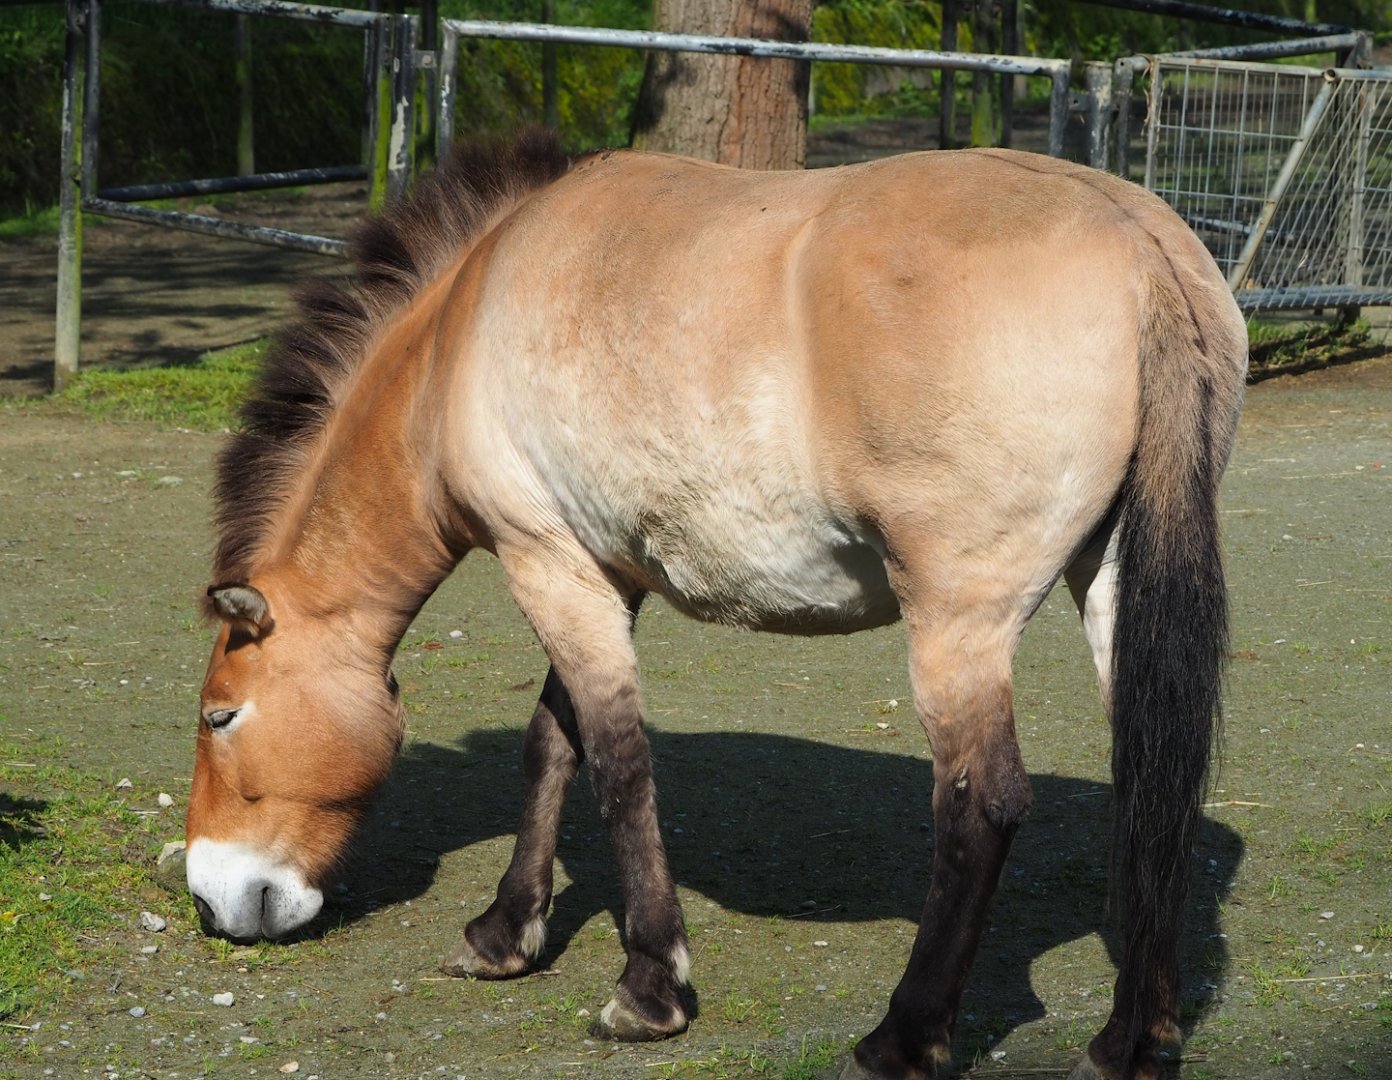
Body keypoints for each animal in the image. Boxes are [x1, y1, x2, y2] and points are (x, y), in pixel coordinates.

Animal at [185, 130, 1247, 1080]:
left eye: (220, 716)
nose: (210, 898)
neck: (464, 326)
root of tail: (1139, 248)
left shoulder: (546, 563)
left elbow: (618, 766)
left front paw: (648, 988)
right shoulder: (600, 573)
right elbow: (554, 742)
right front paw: (504, 932)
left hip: (959, 624)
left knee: (980, 806)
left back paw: (902, 1039)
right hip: (1109, 585)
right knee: (1154, 780)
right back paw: (1130, 1042)